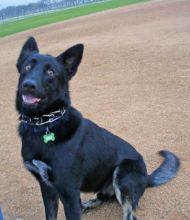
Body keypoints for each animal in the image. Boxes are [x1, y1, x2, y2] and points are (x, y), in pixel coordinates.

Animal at [15, 37, 180, 219]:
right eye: (27, 67)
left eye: (51, 72)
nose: (28, 85)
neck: (44, 123)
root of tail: (146, 177)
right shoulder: (47, 187)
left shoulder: (68, 191)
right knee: (102, 198)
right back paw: (87, 205)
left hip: (122, 174)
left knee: (129, 213)